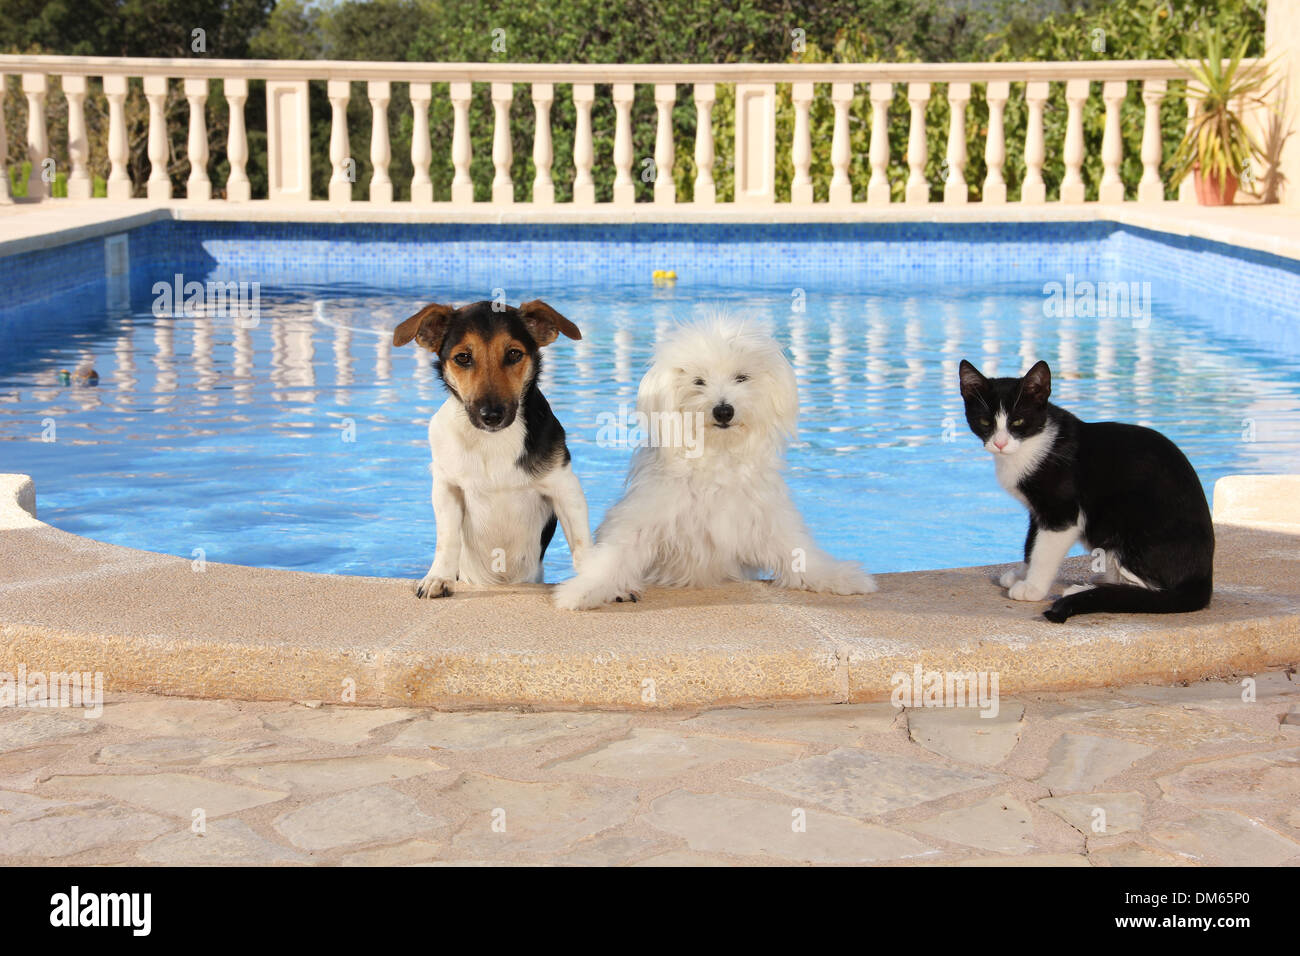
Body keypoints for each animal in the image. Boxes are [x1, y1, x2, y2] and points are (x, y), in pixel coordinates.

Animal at [392, 299, 592, 598]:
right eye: (463, 358)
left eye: (513, 354)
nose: (492, 416)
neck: (492, 440)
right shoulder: (446, 486)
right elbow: (447, 539)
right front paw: (438, 578)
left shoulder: (565, 487)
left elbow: (582, 544)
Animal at [553, 317, 878, 608]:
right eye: (698, 381)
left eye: (741, 377)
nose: (723, 410)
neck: (717, 455)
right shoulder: (641, 519)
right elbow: (613, 558)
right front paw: (581, 591)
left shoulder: (768, 519)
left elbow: (800, 553)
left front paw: (841, 577)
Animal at [956, 356, 1216, 621]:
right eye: (985, 422)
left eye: (1017, 421)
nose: (1000, 443)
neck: (1030, 444)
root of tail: (1203, 577)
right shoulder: (1036, 511)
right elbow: (1031, 542)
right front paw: (1022, 574)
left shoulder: (1062, 512)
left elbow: (1044, 551)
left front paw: (1032, 587)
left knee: (1153, 589)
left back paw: (1086, 590)